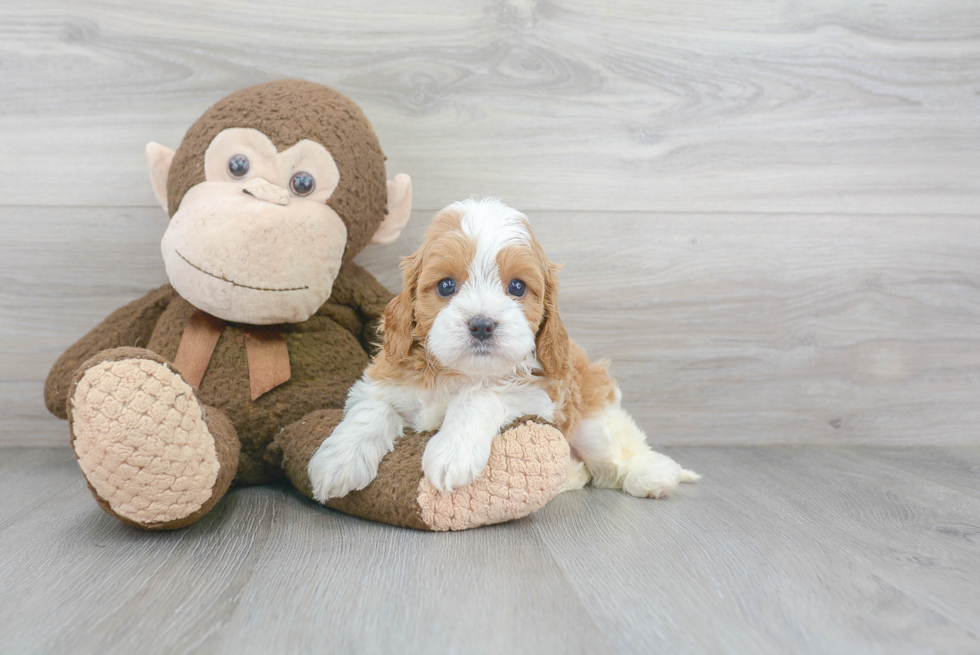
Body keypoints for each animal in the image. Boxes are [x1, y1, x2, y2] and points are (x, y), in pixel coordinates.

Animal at [310, 197, 700, 500]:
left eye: (517, 287)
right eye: (446, 286)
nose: (482, 325)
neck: (459, 372)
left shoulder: (538, 396)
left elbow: (480, 396)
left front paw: (452, 452)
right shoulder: (380, 381)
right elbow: (371, 410)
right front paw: (338, 461)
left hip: (591, 424)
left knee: (617, 454)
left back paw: (653, 476)